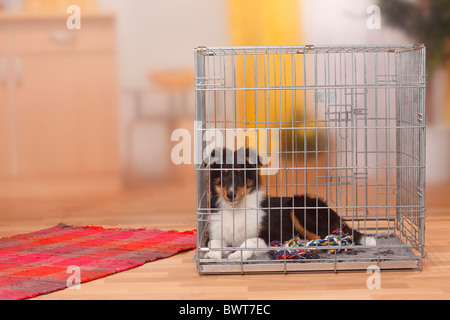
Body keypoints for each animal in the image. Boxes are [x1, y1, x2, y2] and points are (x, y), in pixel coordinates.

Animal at [203, 148, 376, 260]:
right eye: (224, 174)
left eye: (240, 174)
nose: (230, 194)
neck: (236, 208)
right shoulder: (216, 231)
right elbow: (214, 242)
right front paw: (213, 254)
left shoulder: (271, 235)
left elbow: (248, 241)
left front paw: (237, 254)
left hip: (298, 206)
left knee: (331, 237)